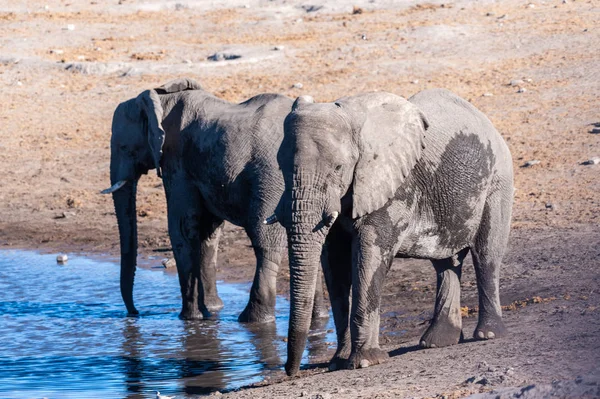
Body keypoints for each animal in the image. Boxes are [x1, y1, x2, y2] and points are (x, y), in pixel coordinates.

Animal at [103, 79, 328, 324]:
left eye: (124, 148)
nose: (135, 313)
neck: (161, 98)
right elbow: (208, 232)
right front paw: (212, 309)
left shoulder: (177, 162)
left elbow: (181, 229)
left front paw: (191, 318)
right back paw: (318, 318)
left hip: (272, 177)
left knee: (264, 239)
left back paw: (253, 319)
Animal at [270, 88, 512, 378]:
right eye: (281, 168)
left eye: (339, 168)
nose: (291, 372)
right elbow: (336, 265)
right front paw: (337, 363)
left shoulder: (392, 184)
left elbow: (368, 256)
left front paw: (365, 362)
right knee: (445, 263)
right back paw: (437, 342)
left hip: (498, 179)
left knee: (486, 255)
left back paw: (488, 335)